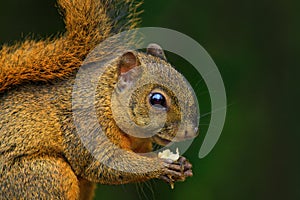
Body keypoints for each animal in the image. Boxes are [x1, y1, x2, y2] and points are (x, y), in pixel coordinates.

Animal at [1, 0, 200, 200]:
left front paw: (183, 164)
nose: (190, 132)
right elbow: (102, 164)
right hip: (45, 176)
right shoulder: (87, 124)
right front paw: (162, 166)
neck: (106, 101)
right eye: (157, 99)